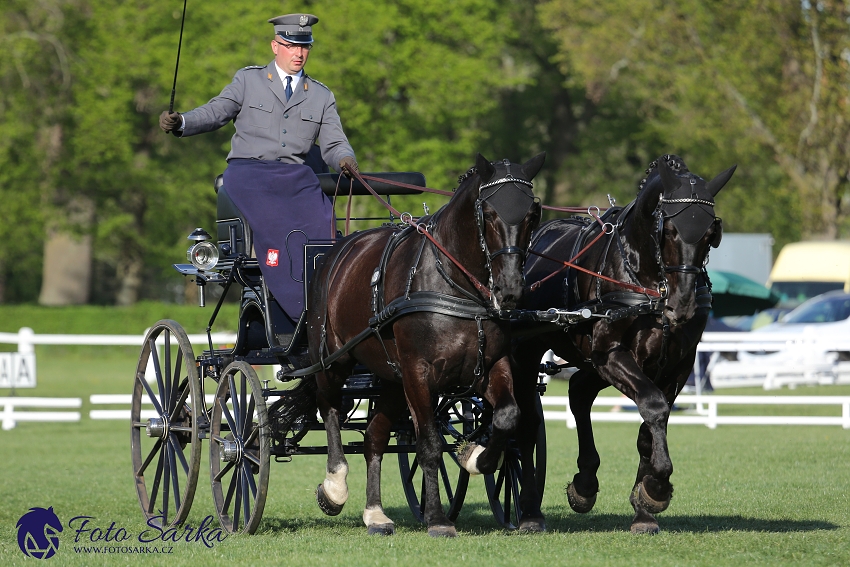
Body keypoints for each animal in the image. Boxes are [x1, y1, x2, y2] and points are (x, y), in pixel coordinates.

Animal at [304, 152, 544, 536]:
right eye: (489, 213)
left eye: (532, 213)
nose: (510, 291)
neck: (455, 287)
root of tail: (340, 249)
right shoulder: (418, 373)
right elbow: (428, 443)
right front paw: (437, 519)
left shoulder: (492, 365)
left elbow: (508, 416)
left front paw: (474, 456)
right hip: (332, 361)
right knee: (329, 410)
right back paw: (334, 487)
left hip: (390, 377)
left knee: (374, 436)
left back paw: (375, 513)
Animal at [506, 156, 732, 536]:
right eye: (670, 230)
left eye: (710, 234)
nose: (683, 305)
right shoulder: (611, 353)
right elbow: (653, 405)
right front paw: (657, 487)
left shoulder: (677, 364)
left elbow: (650, 426)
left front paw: (646, 504)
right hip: (534, 355)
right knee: (526, 421)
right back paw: (531, 511)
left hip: (595, 362)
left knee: (579, 391)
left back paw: (584, 483)